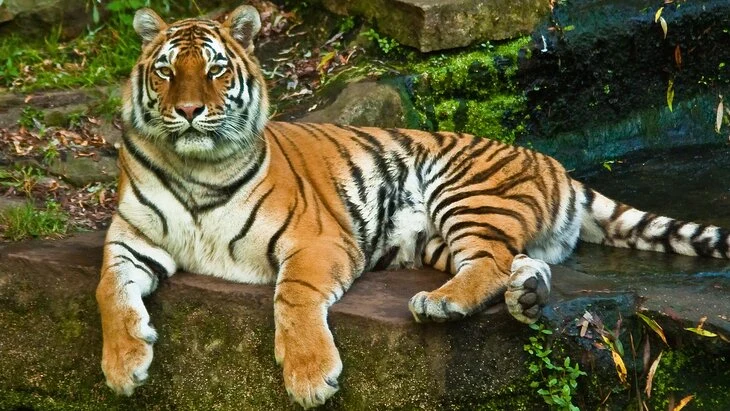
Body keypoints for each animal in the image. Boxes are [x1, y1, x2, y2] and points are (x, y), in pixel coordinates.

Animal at [95, 5, 730, 409]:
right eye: (166, 71)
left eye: (216, 69)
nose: (189, 111)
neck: (196, 170)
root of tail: (558, 166)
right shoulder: (130, 238)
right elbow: (109, 290)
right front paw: (123, 366)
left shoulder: (317, 239)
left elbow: (293, 297)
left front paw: (309, 377)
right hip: (436, 240)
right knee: (514, 262)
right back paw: (527, 295)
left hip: (464, 191)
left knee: (490, 261)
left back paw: (443, 304)